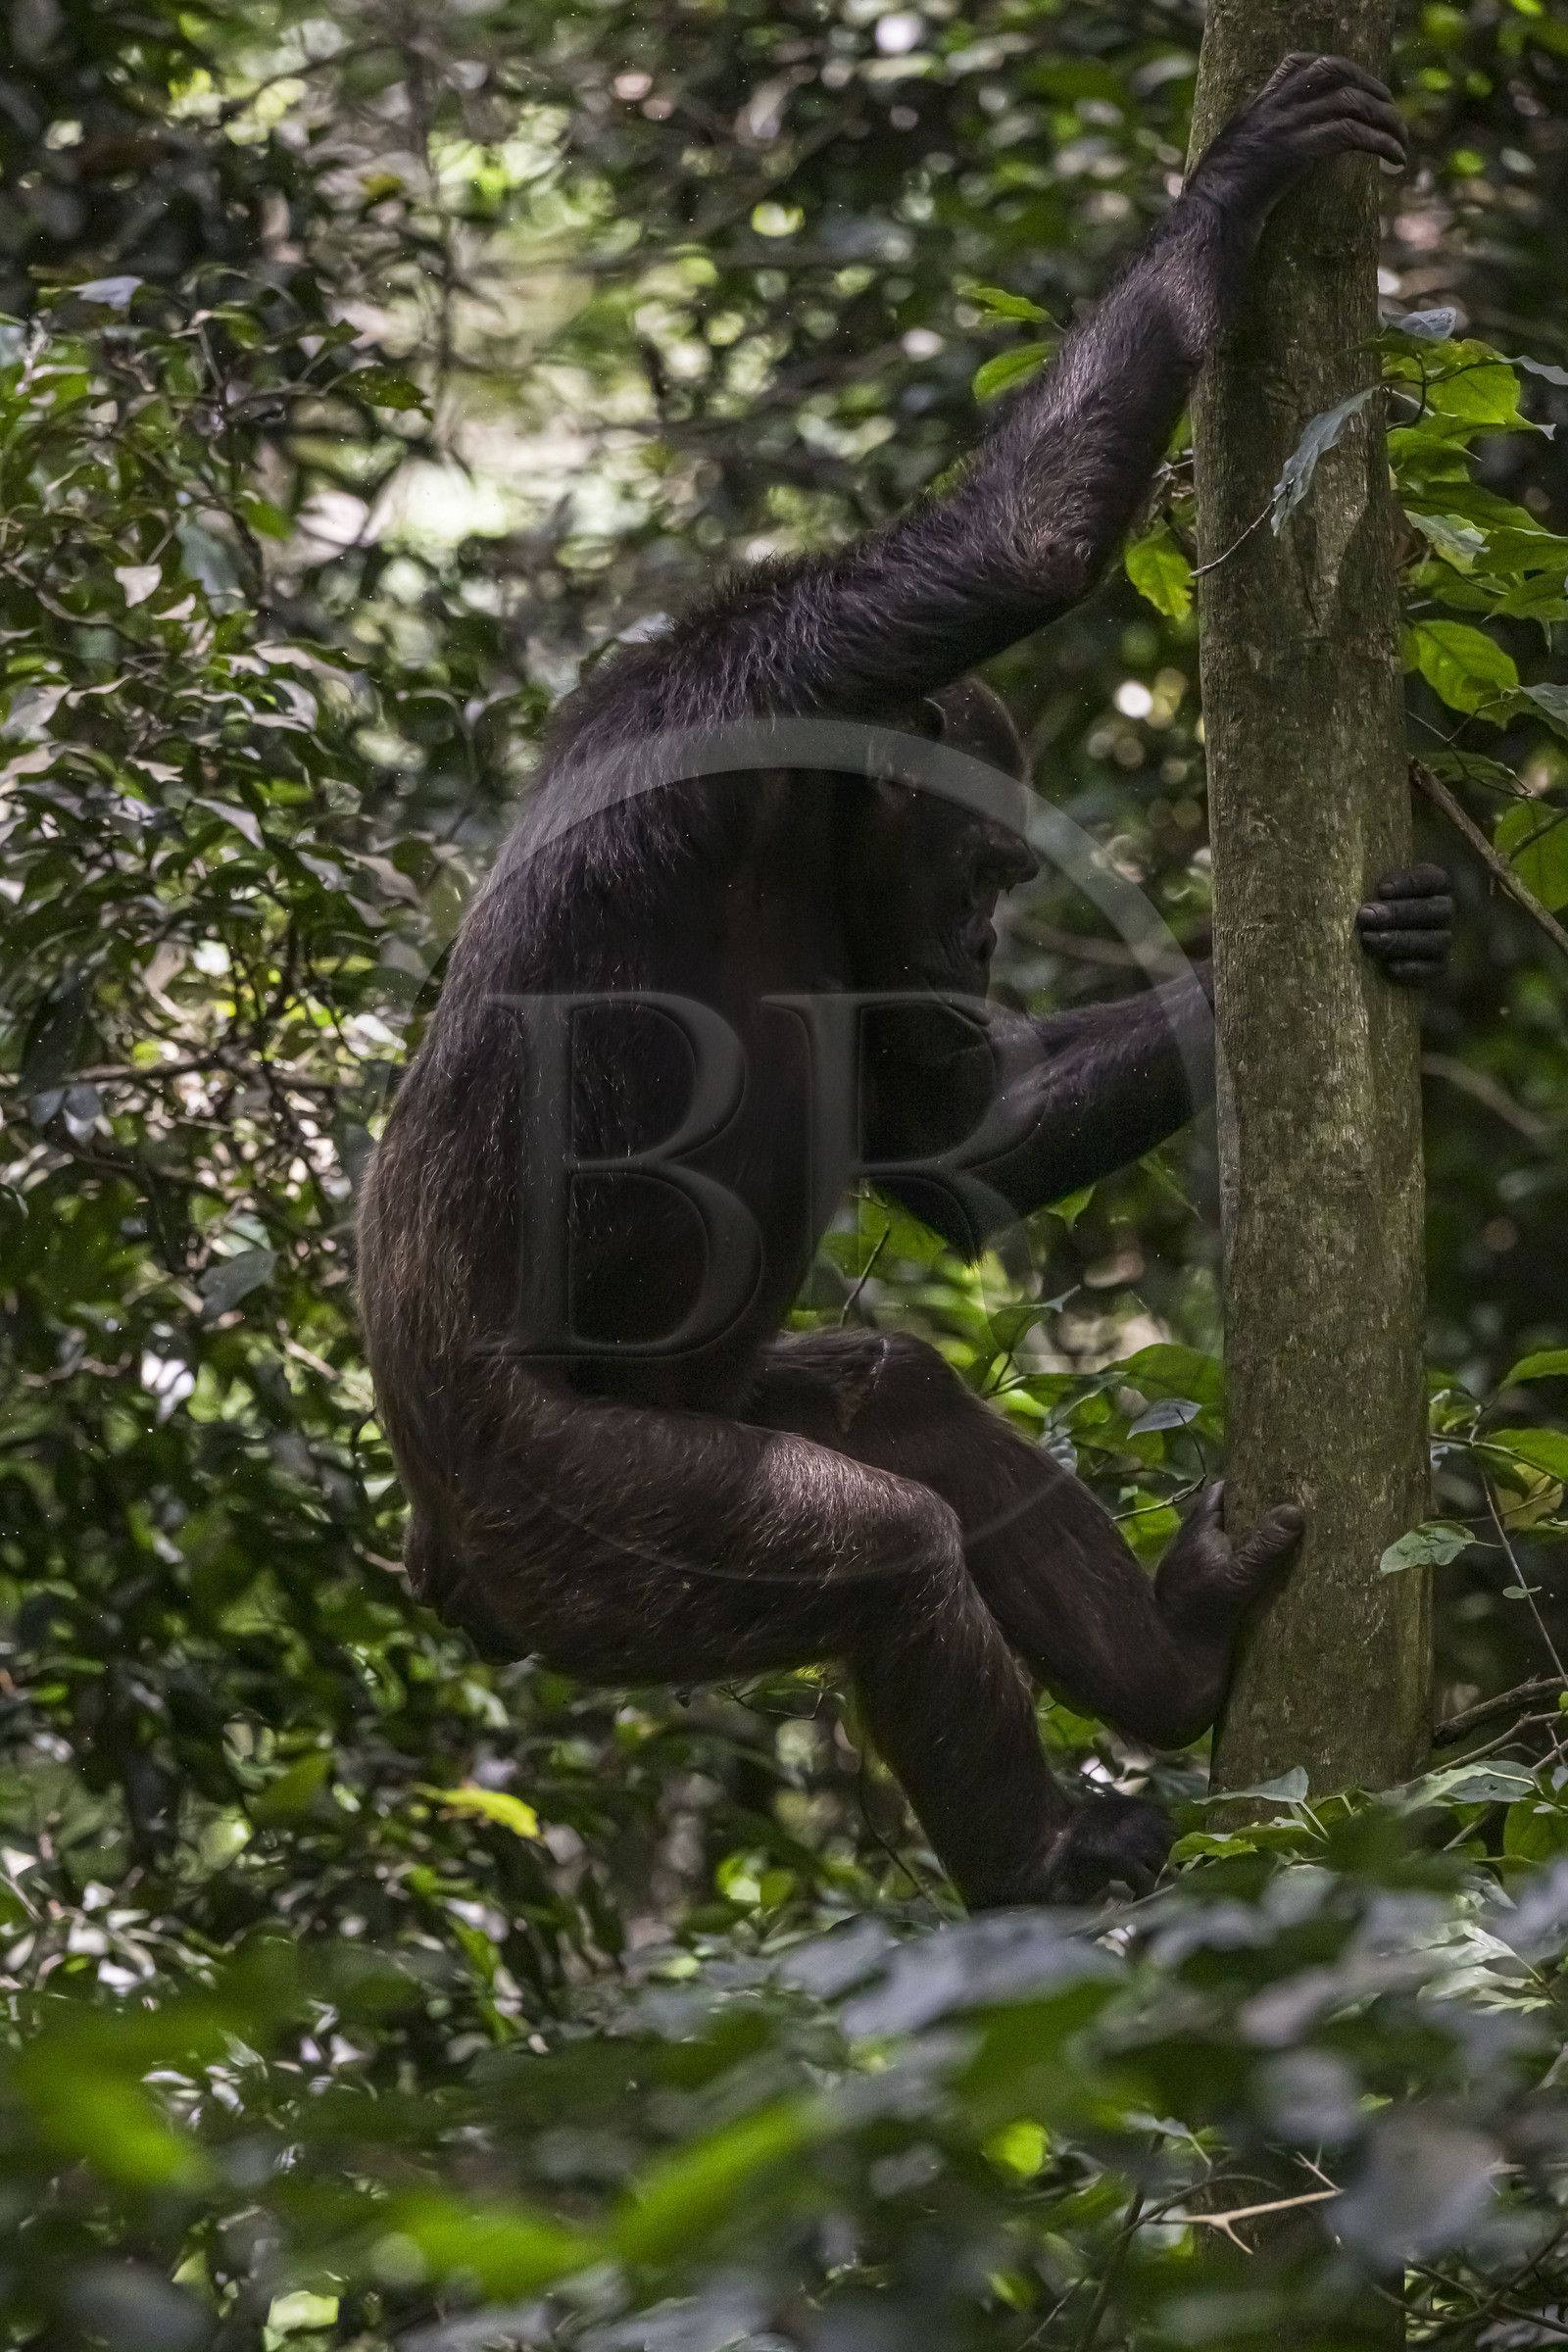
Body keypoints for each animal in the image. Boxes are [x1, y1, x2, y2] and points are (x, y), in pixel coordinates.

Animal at [358, 54, 1452, 1907]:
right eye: (987, 870)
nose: (982, 947)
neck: (812, 823)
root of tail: (434, 1559)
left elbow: (962, 1147)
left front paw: (1411, 939)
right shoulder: (786, 667)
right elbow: (1019, 550)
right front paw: (1238, 184)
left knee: (904, 1396)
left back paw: (1176, 1654)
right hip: (580, 1527)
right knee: (875, 1550)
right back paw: (1050, 1858)